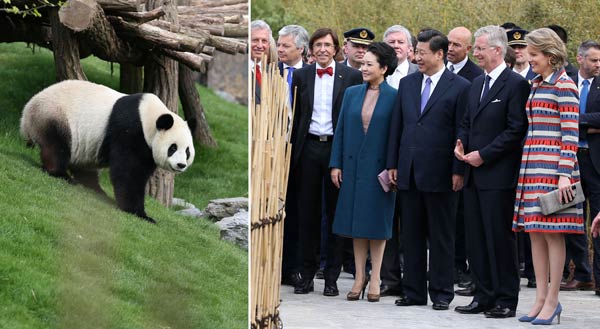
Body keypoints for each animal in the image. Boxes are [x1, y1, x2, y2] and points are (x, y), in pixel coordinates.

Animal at [19, 80, 195, 223]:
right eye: (173, 147)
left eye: (187, 151)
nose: (181, 165)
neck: (149, 116)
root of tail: (25, 117)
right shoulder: (130, 130)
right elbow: (128, 173)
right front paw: (139, 213)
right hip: (54, 115)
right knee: (56, 146)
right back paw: (60, 174)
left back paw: (95, 188)